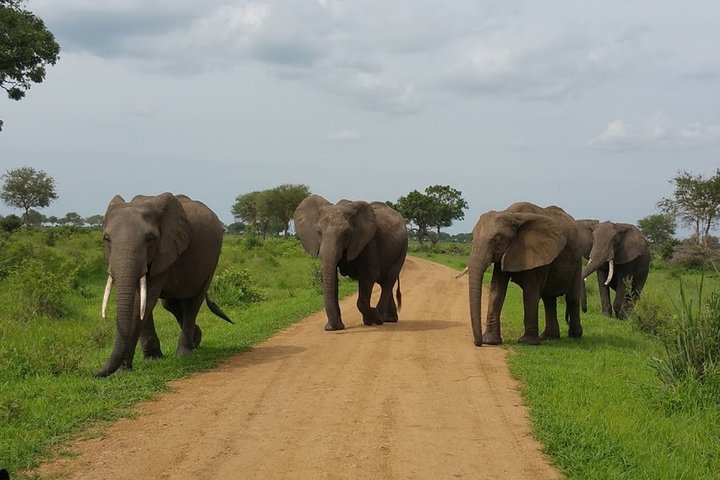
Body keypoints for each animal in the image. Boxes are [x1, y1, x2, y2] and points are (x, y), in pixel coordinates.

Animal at [96, 193, 232, 377]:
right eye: (107, 239)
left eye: (150, 239)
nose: (94, 373)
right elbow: (142, 303)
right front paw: (152, 360)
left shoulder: (164, 252)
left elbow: (144, 301)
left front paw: (122, 371)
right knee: (170, 304)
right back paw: (196, 340)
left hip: (211, 261)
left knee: (192, 303)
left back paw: (184, 353)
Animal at [294, 194, 408, 331]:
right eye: (319, 232)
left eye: (346, 234)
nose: (331, 327)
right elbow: (333, 279)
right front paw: (335, 328)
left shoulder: (368, 242)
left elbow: (369, 275)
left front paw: (371, 319)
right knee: (385, 283)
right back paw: (389, 319)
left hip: (402, 249)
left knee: (388, 282)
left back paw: (380, 318)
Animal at [468, 201, 584, 346]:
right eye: (472, 238)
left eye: (497, 239)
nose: (477, 343)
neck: (511, 215)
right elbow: (497, 289)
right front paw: (490, 341)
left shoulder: (536, 251)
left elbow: (530, 291)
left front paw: (527, 342)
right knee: (548, 299)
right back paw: (549, 337)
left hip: (577, 261)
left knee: (572, 298)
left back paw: (575, 335)